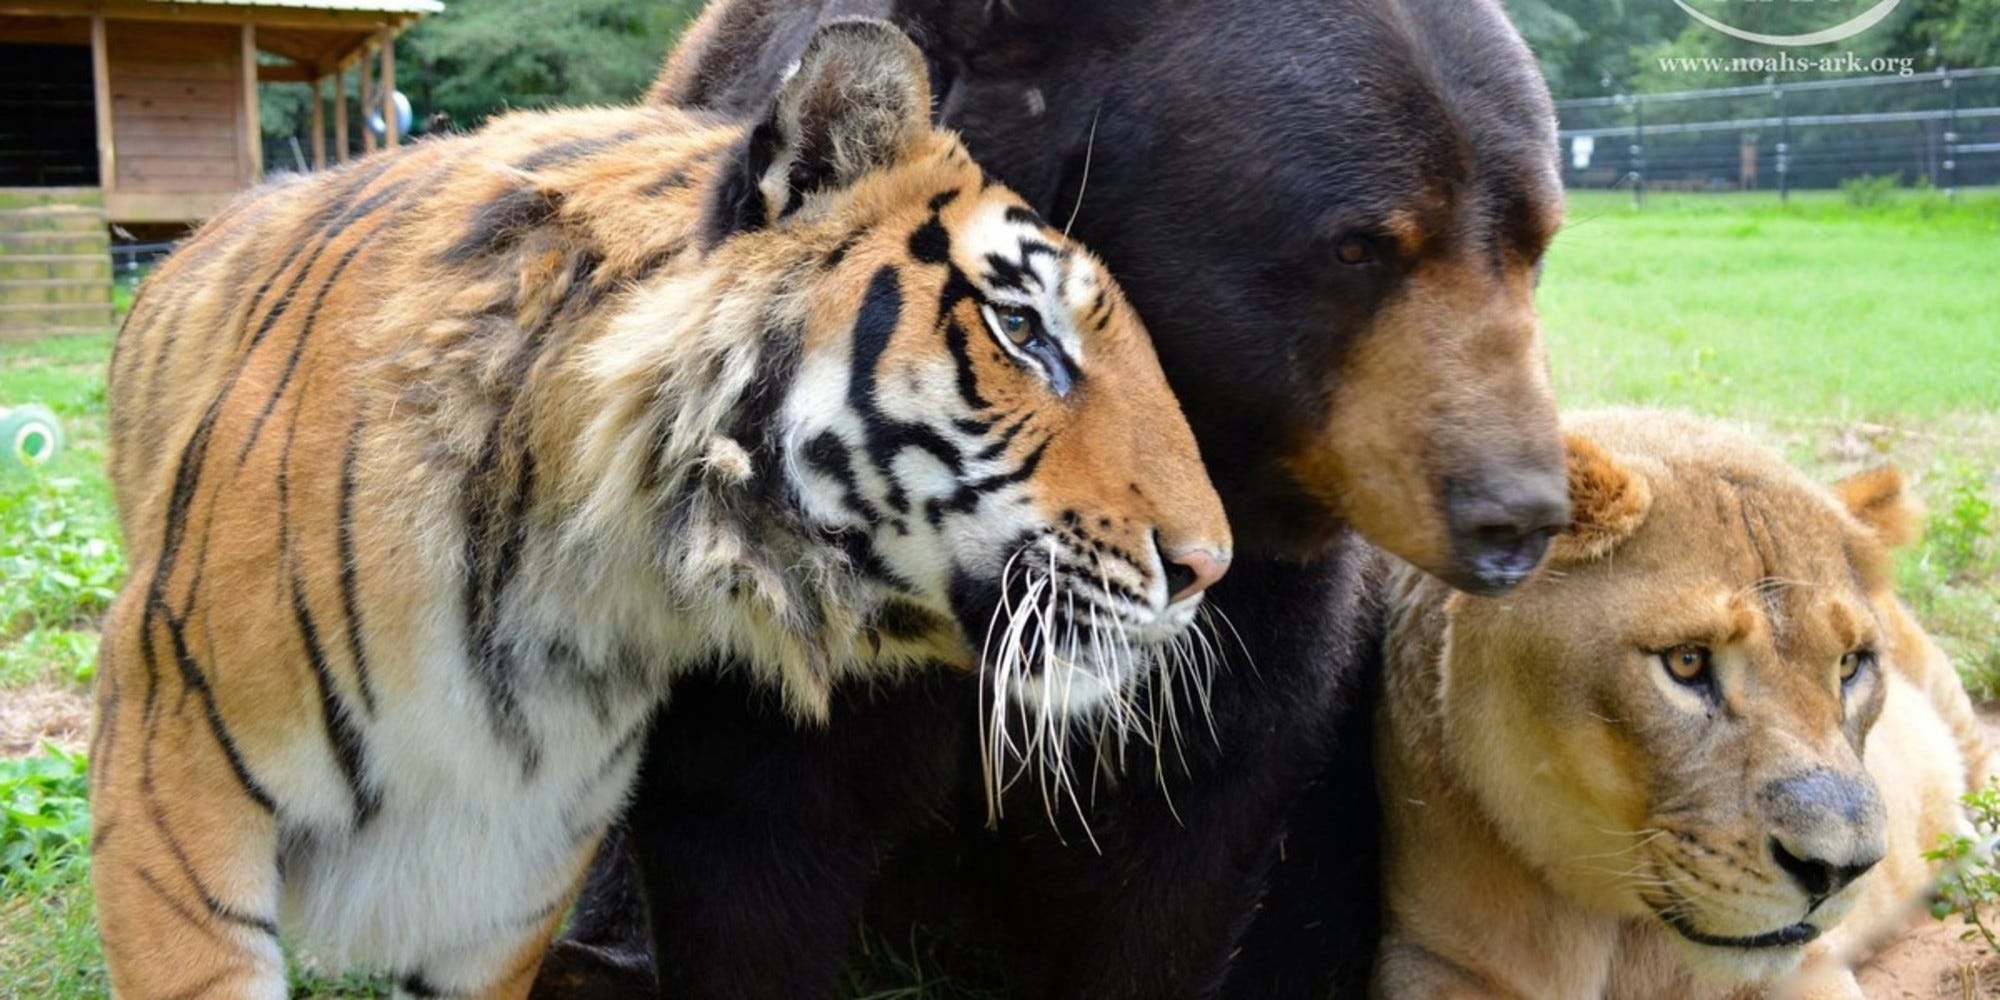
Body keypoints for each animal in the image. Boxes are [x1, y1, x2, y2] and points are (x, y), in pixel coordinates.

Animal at [1374, 408, 1991, 999]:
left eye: (1849, 664)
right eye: (1687, 661)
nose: (1838, 872)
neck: (1613, 932)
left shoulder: (1807, 969)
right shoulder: (1426, 956)